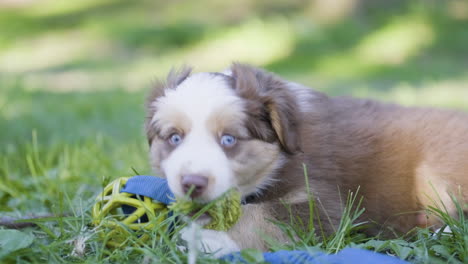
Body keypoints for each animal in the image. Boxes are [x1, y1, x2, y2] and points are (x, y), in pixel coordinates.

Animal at [145, 63, 468, 255]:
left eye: (228, 140)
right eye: (175, 138)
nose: (192, 183)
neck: (280, 158)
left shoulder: (318, 203)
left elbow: (261, 221)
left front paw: (208, 241)